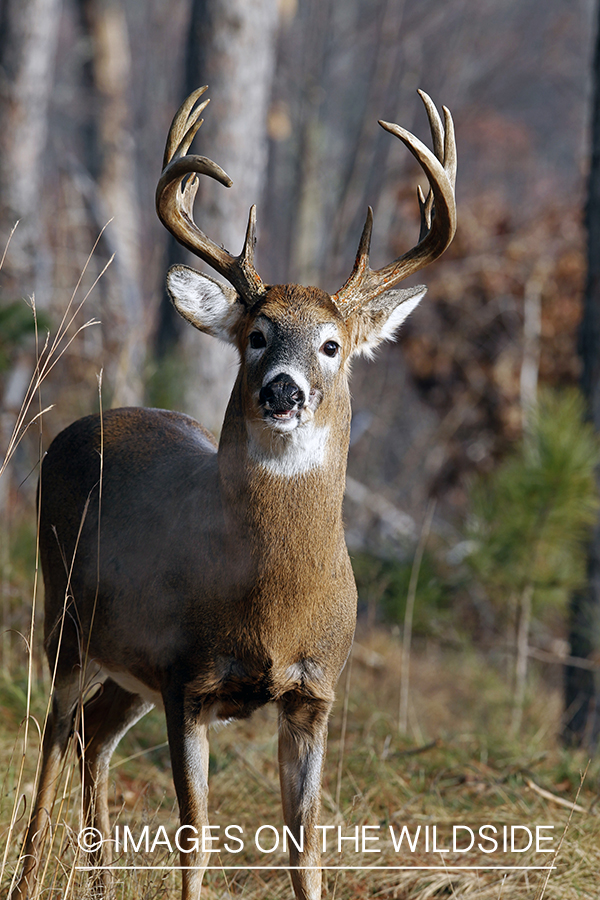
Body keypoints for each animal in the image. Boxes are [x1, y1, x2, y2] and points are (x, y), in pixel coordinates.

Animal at [11, 84, 454, 900]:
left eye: (332, 344)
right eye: (256, 334)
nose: (282, 390)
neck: (271, 610)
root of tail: (78, 427)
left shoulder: (313, 693)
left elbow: (305, 849)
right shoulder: (188, 680)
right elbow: (196, 838)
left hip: (128, 663)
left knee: (94, 735)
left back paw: (100, 878)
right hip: (67, 616)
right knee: (54, 736)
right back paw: (29, 876)